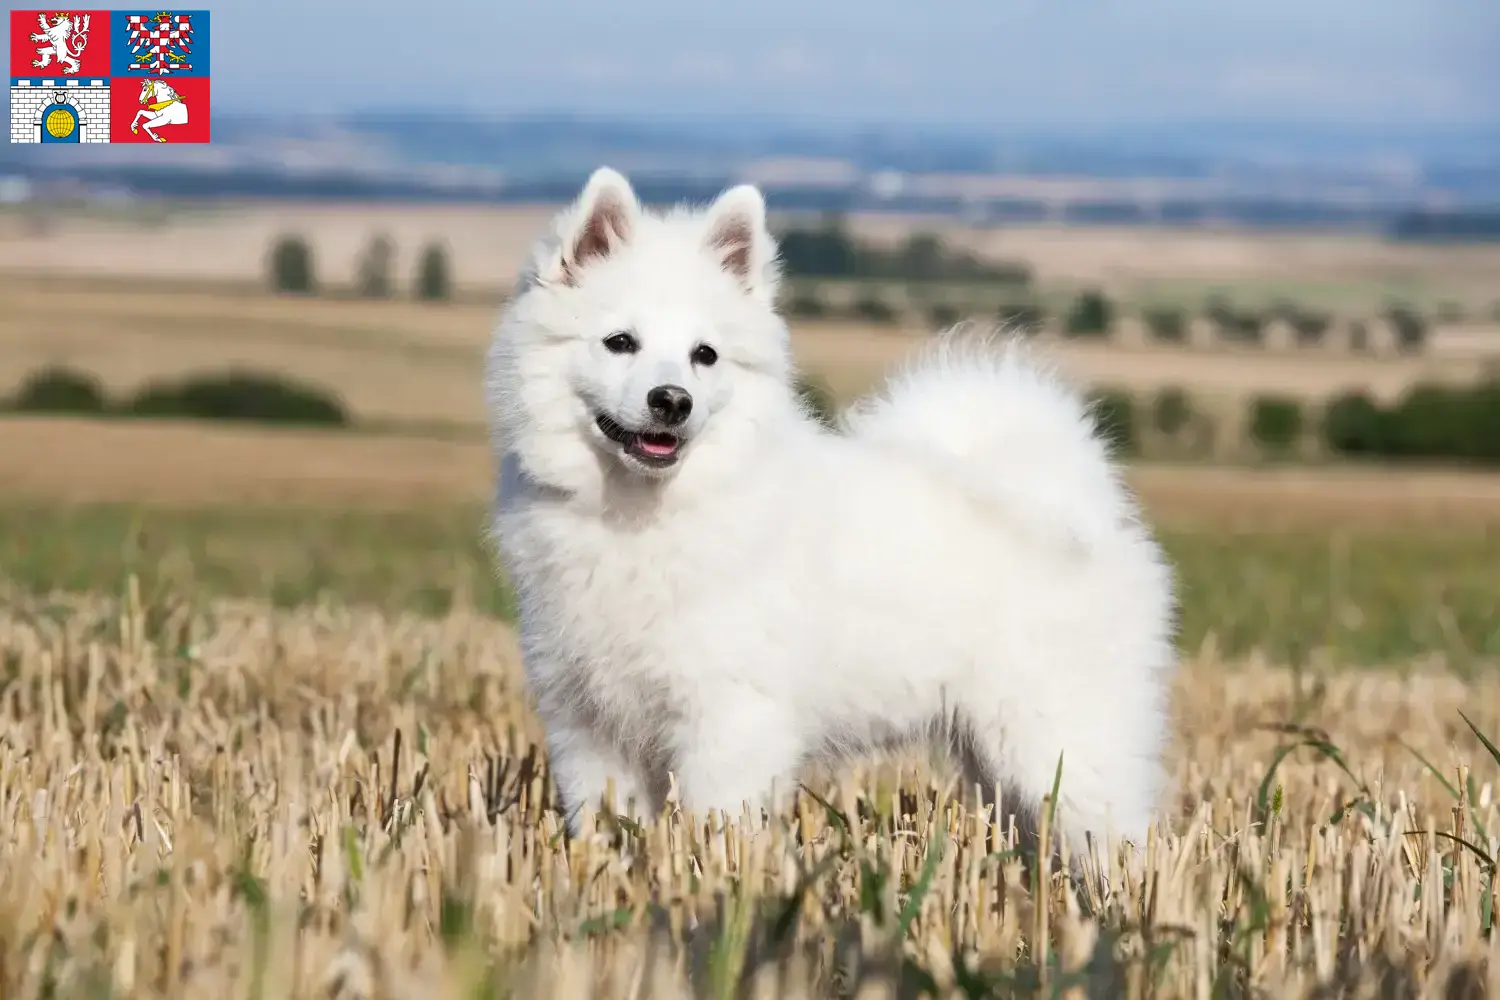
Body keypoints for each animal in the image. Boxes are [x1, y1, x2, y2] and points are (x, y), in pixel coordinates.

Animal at [486, 167, 1176, 863]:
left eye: (705, 355)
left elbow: (719, 823)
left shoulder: (729, 715)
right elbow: (608, 825)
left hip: (1061, 739)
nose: (672, 401)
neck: (645, 510)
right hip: (994, 755)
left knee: (1119, 836)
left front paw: (719, 875)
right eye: (620, 343)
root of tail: (1088, 502)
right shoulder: (588, 724)